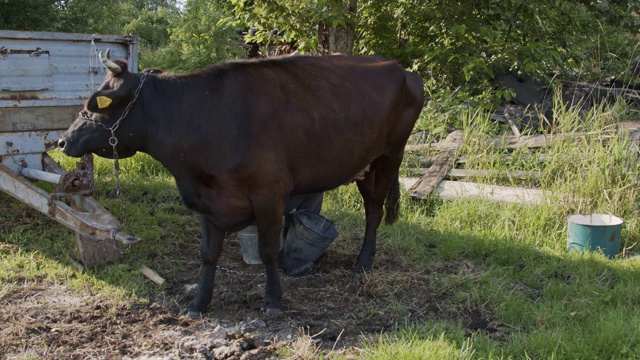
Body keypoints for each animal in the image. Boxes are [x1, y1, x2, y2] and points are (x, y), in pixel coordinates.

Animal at [56, 50, 424, 316]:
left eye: (98, 102)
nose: (63, 141)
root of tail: (404, 71)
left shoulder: (268, 193)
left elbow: (269, 251)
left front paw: (273, 302)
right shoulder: (206, 199)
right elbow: (208, 254)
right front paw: (198, 303)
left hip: (390, 155)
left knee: (374, 212)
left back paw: (363, 265)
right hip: (367, 164)